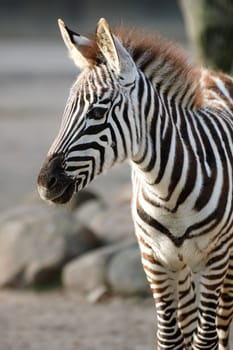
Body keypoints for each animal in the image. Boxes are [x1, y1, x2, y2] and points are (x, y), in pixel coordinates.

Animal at [37, 18, 233, 350]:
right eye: (67, 111)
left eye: (97, 112)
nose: (44, 183)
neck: (168, 193)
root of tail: (215, 72)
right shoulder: (153, 258)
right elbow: (170, 338)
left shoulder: (216, 257)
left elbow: (205, 338)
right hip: (181, 265)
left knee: (222, 324)